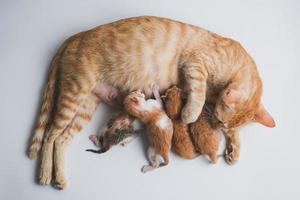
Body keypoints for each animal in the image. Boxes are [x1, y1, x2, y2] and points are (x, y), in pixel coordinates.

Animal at [27, 16, 276, 189]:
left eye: (221, 123)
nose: (216, 125)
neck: (237, 62)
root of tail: (75, 36)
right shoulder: (195, 65)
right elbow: (198, 93)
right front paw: (190, 114)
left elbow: (234, 131)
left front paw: (234, 150)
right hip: (74, 94)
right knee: (50, 134)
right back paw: (45, 174)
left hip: (85, 106)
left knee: (62, 139)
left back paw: (59, 178)